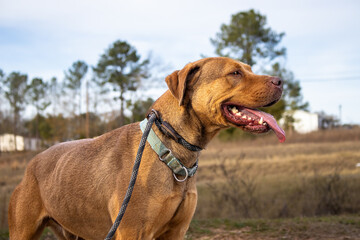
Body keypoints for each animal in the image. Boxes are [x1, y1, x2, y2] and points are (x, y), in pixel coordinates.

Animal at [7, 57, 284, 239]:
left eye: (249, 69)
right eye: (235, 73)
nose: (281, 80)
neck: (170, 149)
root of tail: (32, 163)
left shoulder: (176, 232)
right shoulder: (132, 232)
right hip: (22, 231)